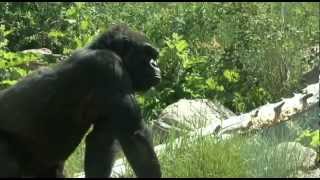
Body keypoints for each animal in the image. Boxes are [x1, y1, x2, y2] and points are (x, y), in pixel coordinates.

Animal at [0, 23, 161, 177]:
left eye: (154, 56)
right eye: (147, 53)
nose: (155, 65)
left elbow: (101, 141)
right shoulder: (109, 66)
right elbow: (136, 137)